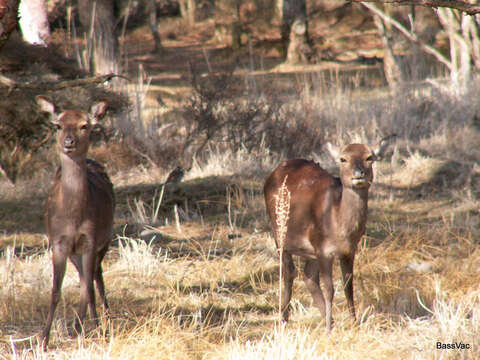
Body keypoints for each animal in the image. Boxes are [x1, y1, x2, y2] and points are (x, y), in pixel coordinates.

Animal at [37, 95, 115, 348]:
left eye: (84, 125)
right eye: (58, 125)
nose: (69, 142)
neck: (73, 217)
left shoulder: (90, 240)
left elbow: (87, 287)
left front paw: (80, 329)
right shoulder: (59, 243)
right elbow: (55, 290)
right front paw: (43, 339)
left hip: (105, 240)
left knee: (96, 278)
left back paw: (102, 320)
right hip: (74, 252)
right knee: (85, 276)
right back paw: (91, 323)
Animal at [264, 141, 392, 330]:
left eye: (369, 157)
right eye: (343, 159)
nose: (358, 173)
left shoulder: (349, 251)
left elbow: (348, 286)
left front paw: (354, 323)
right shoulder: (323, 250)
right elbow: (329, 289)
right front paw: (329, 329)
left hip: (310, 250)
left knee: (308, 276)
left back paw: (328, 319)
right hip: (279, 234)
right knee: (288, 272)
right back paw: (284, 320)